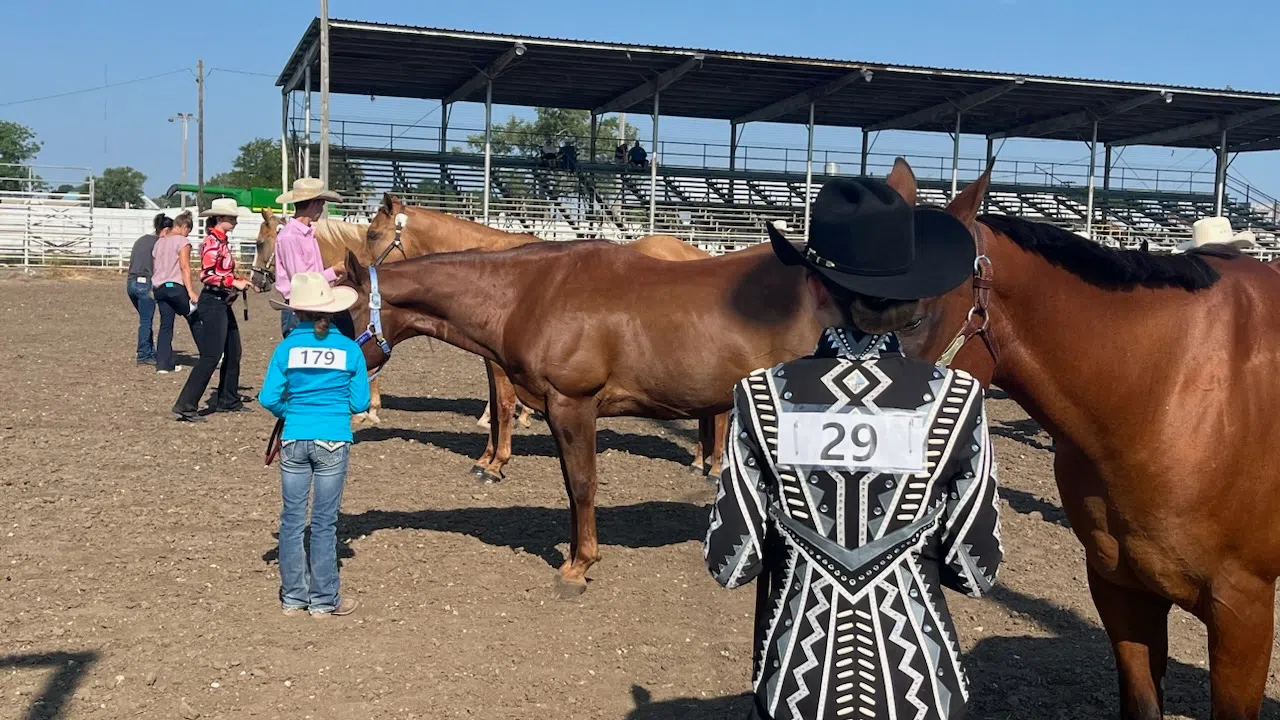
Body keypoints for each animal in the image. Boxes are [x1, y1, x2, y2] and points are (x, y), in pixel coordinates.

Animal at [337, 228, 819, 589]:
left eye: (340, 318)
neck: (529, 295)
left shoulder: (574, 405)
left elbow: (584, 485)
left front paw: (579, 567)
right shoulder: (556, 411)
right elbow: (571, 487)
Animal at [366, 193, 732, 479]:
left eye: (372, 234)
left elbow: (503, 405)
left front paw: (495, 464)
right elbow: (496, 406)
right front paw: (485, 459)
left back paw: (714, 469)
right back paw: (699, 462)